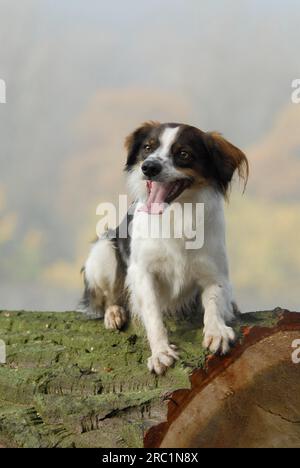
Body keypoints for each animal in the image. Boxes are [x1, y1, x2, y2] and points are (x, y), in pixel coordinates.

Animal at [79, 122, 248, 374]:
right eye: (148, 148)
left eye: (183, 154)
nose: (149, 167)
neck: (176, 214)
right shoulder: (142, 272)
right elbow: (152, 314)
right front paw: (160, 352)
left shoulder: (215, 274)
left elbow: (213, 302)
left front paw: (216, 331)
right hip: (103, 252)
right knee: (108, 297)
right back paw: (114, 313)